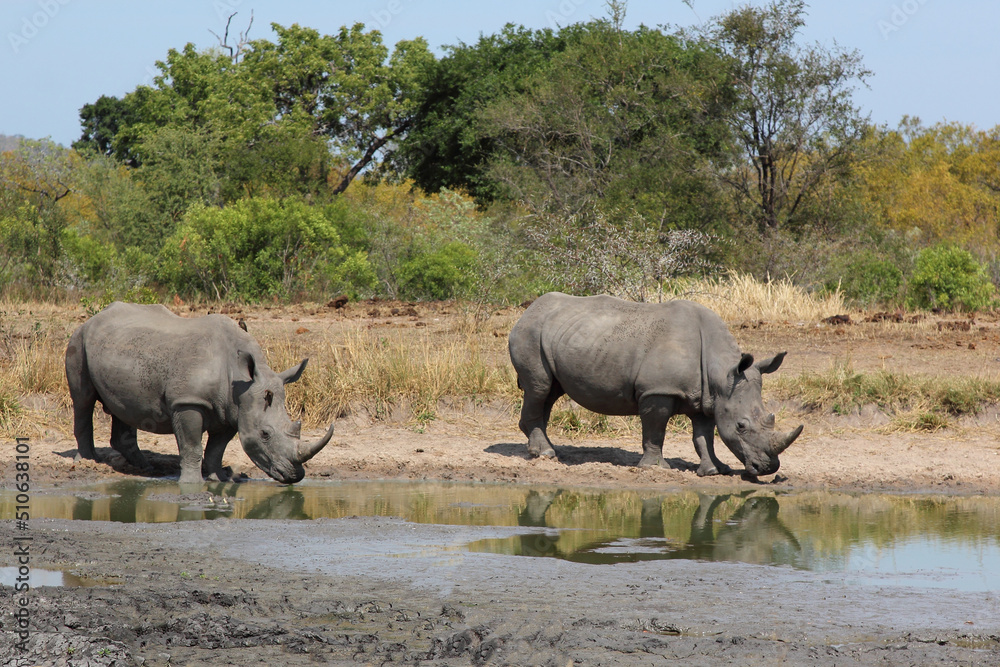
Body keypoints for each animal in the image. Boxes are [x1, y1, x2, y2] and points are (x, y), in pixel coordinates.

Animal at [65, 302, 334, 484]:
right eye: (265, 434)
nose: (294, 475)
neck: (240, 378)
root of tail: (94, 317)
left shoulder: (231, 410)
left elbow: (216, 448)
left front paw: (220, 478)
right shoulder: (188, 402)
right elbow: (192, 444)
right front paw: (192, 483)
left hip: (121, 346)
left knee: (123, 406)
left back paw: (146, 468)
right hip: (78, 339)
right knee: (82, 400)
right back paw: (87, 461)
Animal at [508, 293, 802, 477]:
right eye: (741, 426)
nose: (768, 468)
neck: (721, 372)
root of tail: (526, 311)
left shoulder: (708, 398)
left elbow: (704, 436)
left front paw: (715, 470)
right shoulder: (658, 390)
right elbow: (655, 430)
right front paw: (655, 468)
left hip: (559, 335)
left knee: (550, 393)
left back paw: (543, 450)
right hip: (529, 333)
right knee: (540, 387)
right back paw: (546, 454)